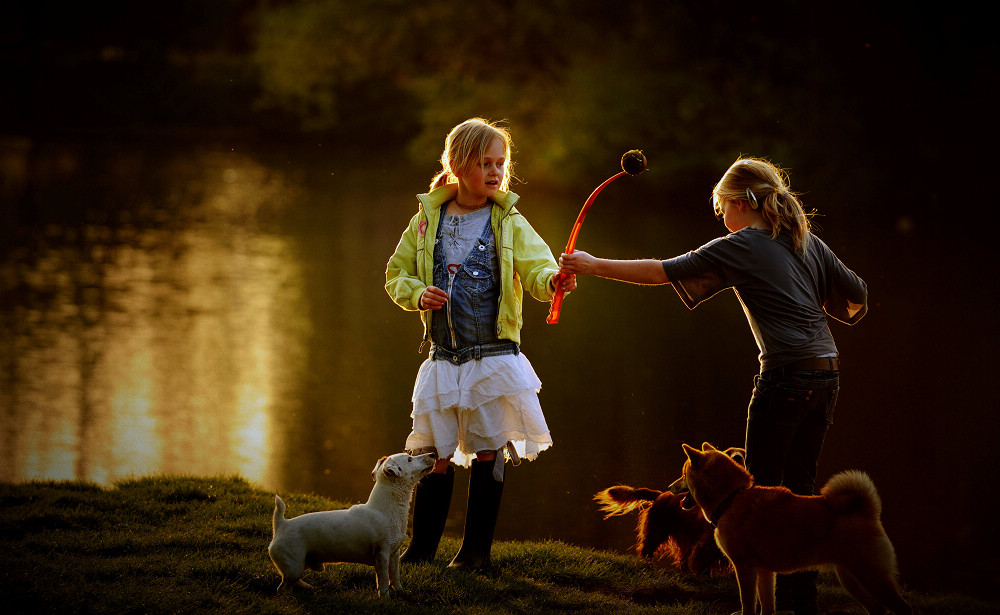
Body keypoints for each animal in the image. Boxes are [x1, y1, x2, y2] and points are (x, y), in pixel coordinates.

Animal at [268, 452, 436, 596]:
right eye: (409, 459)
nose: (433, 454)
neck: (385, 510)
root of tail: (281, 525)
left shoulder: (394, 554)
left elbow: (395, 576)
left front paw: (400, 591)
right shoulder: (382, 555)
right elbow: (383, 581)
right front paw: (385, 598)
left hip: (297, 567)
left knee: (292, 582)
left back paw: (308, 587)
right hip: (294, 567)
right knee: (282, 588)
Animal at [592, 448, 744, 572]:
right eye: (729, 453)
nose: (737, 457)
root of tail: (659, 495)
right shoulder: (704, 545)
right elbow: (700, 565)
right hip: (656, 530)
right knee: (646, 550)